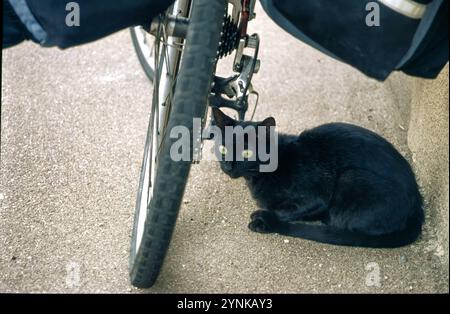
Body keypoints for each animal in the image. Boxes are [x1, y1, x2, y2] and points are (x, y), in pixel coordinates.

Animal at [213, 108, 424, 248]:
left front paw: (264, 218)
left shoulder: (317, 197)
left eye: (247, 153)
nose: (228, 166)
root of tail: (418, 205)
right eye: (223, 149)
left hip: (349, 176)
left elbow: (285, 210)